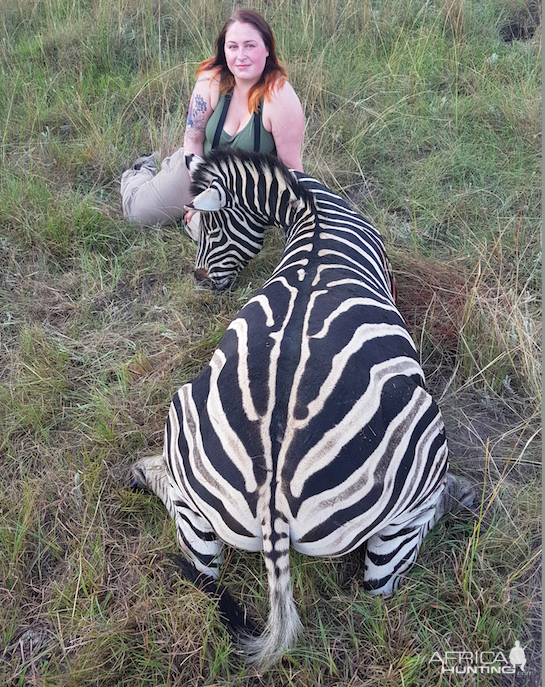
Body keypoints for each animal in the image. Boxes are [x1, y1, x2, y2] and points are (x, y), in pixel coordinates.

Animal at [130, 149, 474, 672]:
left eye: (209, 225)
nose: (201, 282)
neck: (311, 211)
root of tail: (272, 495)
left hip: (185, 424)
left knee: (199, 557)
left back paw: (139, 472)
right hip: (420, 456)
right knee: (384, 581)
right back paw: (459, 495)